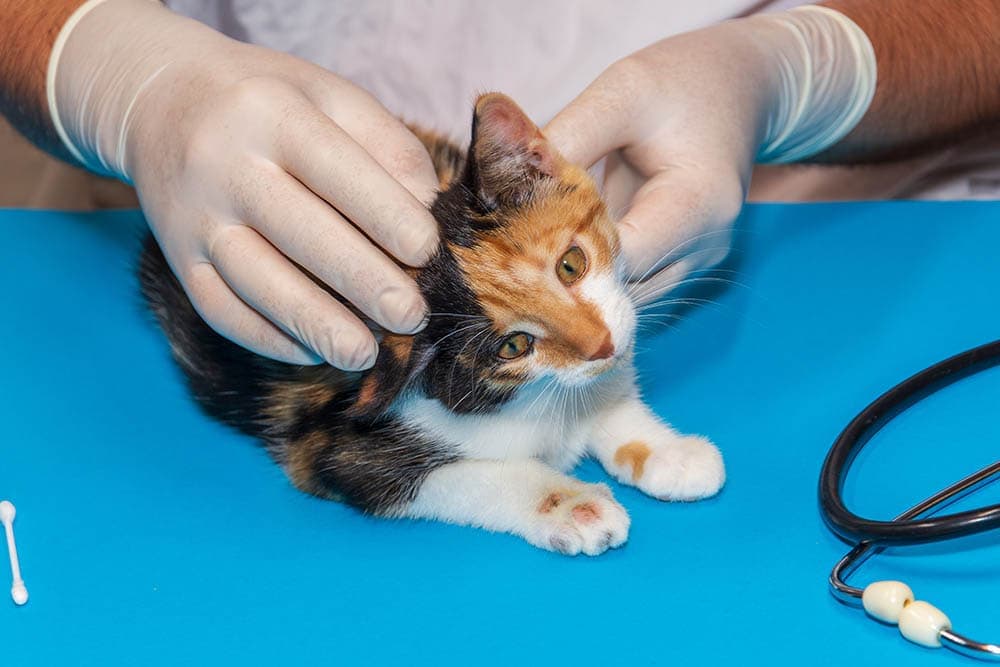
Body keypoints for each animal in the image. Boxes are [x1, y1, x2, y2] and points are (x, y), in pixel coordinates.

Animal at [139, 91, 728, 556]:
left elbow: (608, 403)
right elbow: (470, 476)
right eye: (513, 347)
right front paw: (573, 506)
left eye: (571, 265)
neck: (536, 398)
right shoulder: (332, 447)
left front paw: (667, 451)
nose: (602, 345)